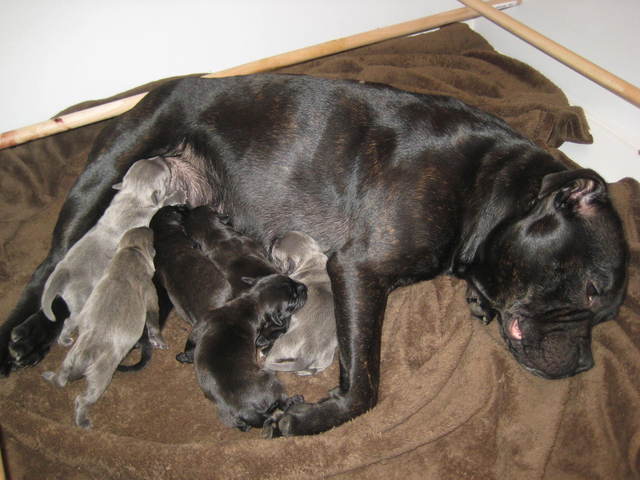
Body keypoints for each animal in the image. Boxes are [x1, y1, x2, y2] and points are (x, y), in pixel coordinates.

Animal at [40, 156, 184, 346]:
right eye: (165, 171)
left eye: (149, 159)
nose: (161, 157)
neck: (132, 196)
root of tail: (62, 271)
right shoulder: (153, 209)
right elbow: (163, 202)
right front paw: (178, 194)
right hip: (81, 301)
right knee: (68, 320)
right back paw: (65, 339)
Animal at [42, 227, 158, 428]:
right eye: (151, 237)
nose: (149, 227)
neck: (130, 253)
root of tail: (84, 355)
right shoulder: (150, 293)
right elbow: (154, 317)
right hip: (101, 376)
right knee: (81, 399)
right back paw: (83, 421)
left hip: (68, 359)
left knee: (61, 378)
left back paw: (51, 372)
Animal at [191, 273, 307, 431]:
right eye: (292, 300)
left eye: (290, 279)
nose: (305, 287)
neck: (252, 301)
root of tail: (245, 410)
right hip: (271, 381)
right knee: (283, 402)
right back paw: (295, 400)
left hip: (227, 417)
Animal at [259, 231, 337, 376]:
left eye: (274, 249)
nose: (275, 237)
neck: (311, 260)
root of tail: (307, 354)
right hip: (325, 361)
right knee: (313, 370)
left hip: (280, 344)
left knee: (270, 361)